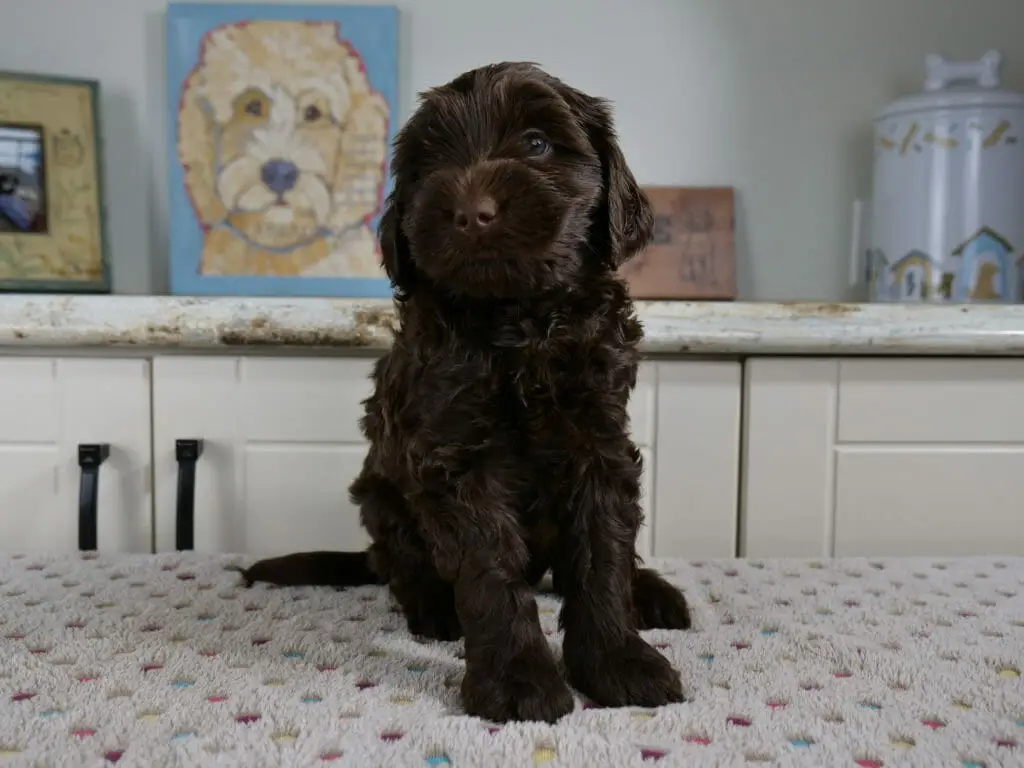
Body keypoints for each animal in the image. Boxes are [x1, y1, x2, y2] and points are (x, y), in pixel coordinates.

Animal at [238, 60, 688, 720]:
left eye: (536, 143)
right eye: (429, 163)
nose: (473, 212)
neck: (521, 321)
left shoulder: (600, 442)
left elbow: (602, 552)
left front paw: (618, 662)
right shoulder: (457, 455)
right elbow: (491, 569)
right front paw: (517, 681)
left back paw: (650, 591)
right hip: (381, 497)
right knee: (402, 565)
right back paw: (433, 609)